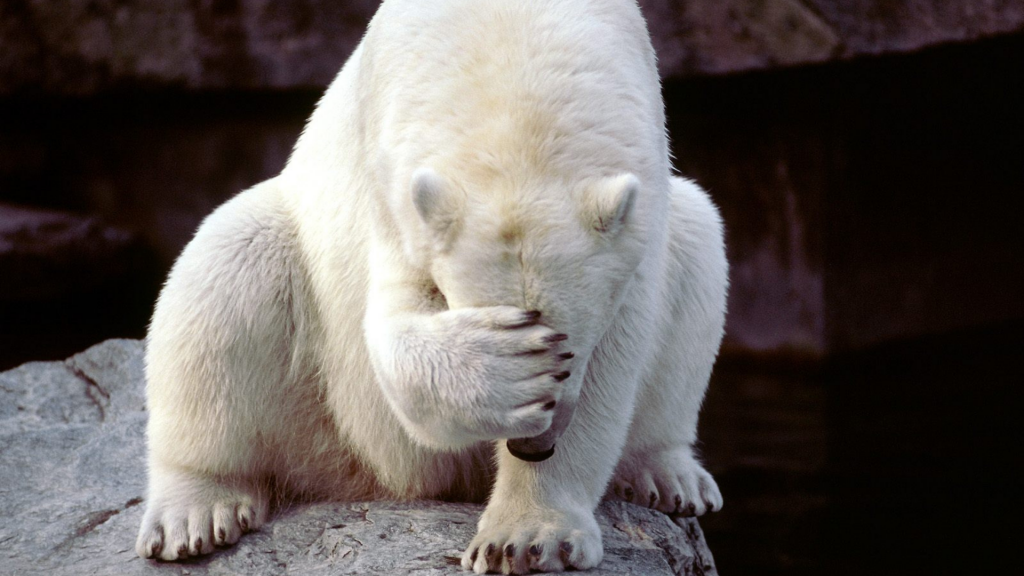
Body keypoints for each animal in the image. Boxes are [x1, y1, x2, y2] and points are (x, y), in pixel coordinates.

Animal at [134, 0, 729, 569]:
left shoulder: (641, 201)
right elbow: (394, 325)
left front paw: (527, 539)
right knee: (229, 263)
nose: (533, 447)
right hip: (319, 405)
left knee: (698, 239)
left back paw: (668, 475)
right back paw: (194, 512)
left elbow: (618, 355)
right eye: (544, 346)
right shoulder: (393, 180)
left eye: (569, 350)